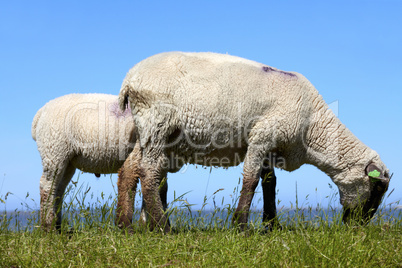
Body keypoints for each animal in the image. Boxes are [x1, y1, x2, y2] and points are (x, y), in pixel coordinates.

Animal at [31, 93, 166, 230]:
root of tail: (41, 112)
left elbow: (161, 187)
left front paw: (148, 224)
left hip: (67, 161)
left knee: (58, 188)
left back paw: (57, 225)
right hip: (54, 150)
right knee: (47, 185)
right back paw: (48, 226)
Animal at [118, 51, 390, 232]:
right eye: (377, 188)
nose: (359, 227)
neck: (314, 127)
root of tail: (130, 79)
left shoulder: (272, 145)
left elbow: (269, 182)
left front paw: (271, 225)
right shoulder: (262, 136)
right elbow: (250, 179)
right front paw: (241, 226)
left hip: (147, 131)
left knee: (129, 170)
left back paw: (126, 225)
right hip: (158, 122)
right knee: (149, 172)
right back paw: (163, 227)